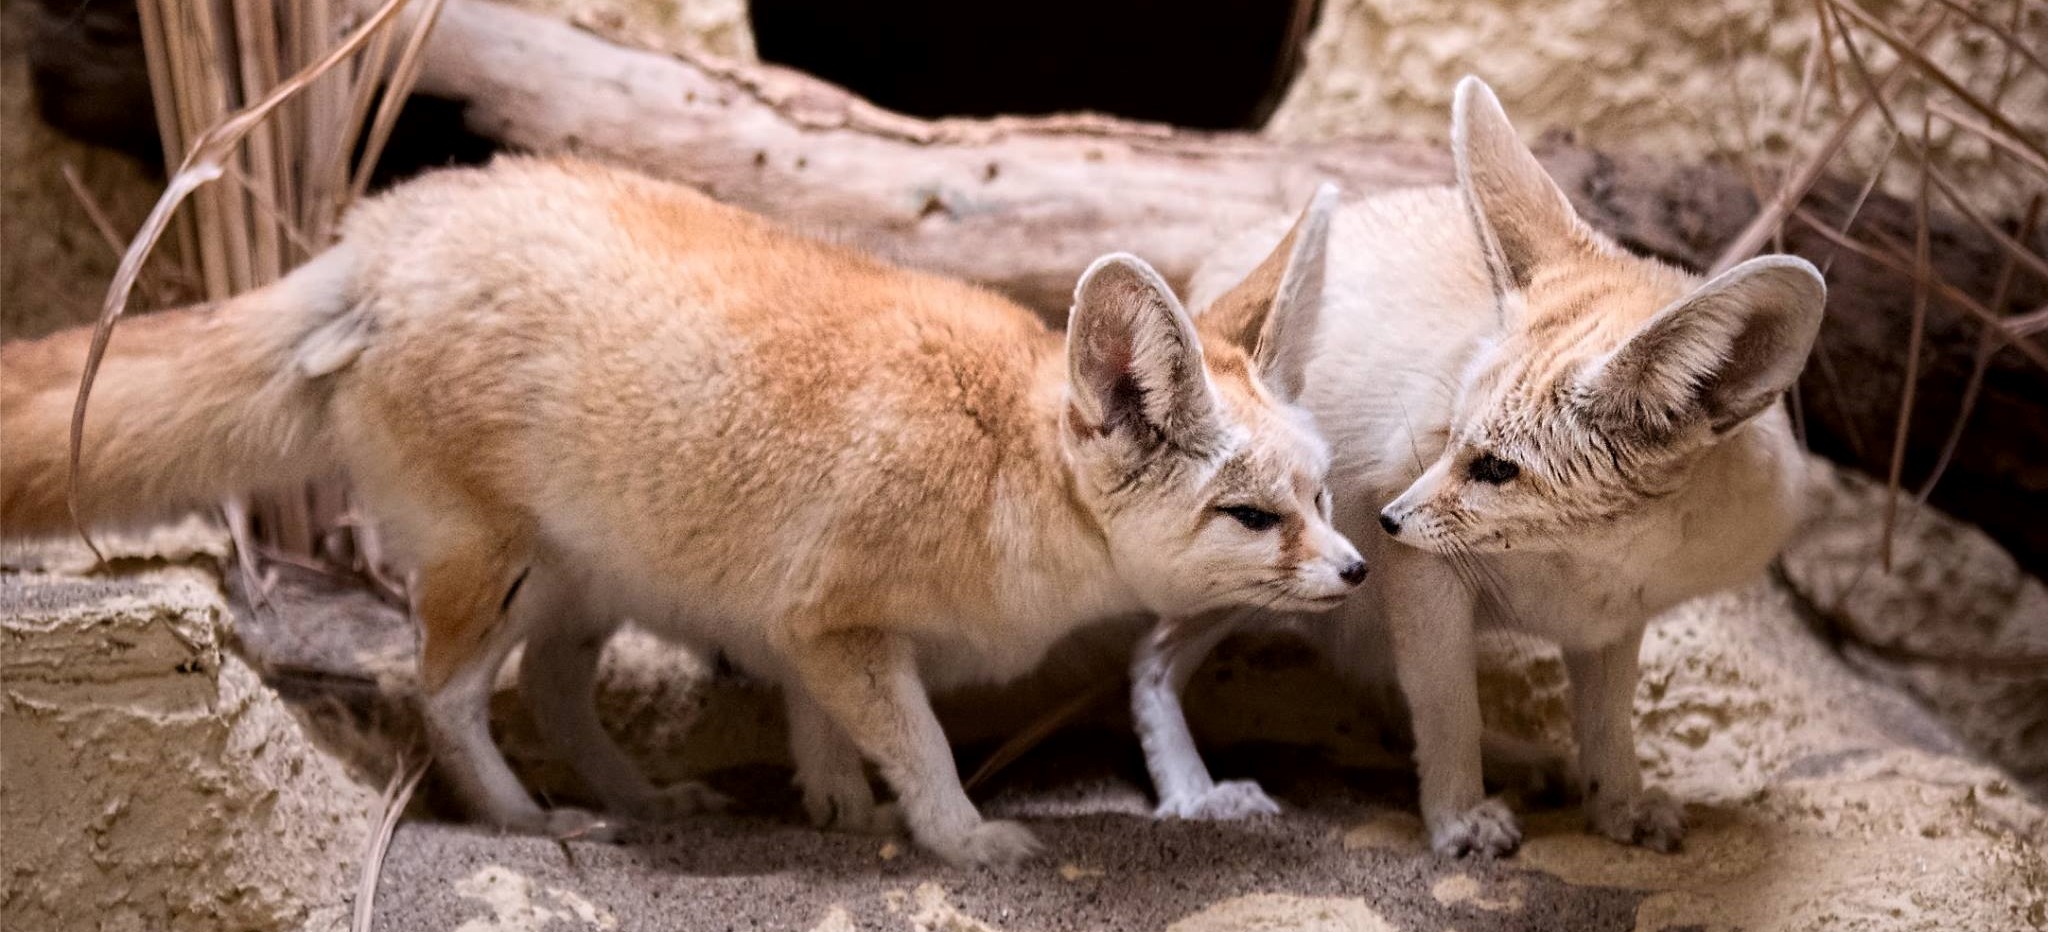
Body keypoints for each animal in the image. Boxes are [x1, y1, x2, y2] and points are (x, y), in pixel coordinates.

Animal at [12, 154, 1376, 868]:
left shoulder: (797, 623)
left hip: (580, 586)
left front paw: (834, 806)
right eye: (1253, 518)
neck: (1000, 458)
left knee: (554, 689)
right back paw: (528, 818)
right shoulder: (836, 621)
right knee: (446, 696)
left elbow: (827, 726)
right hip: (492, 574)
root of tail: (380, 230)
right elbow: (923, 741)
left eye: (1318, 496)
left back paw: (639, 797)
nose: (1359, 571)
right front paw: (960, 837)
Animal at [1138, 76, 1826, 856]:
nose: (1388, 519)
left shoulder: (1613, 621)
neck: (1586, 564)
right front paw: (1459, 814)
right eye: (1449, 439)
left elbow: (1607, 722)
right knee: (1152, 660)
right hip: (1264, 576)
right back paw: (1195, 792)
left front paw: (1619, 803)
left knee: (1376, 684)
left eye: (1496, 469)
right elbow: (1447, 703)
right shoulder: (1422, 573)